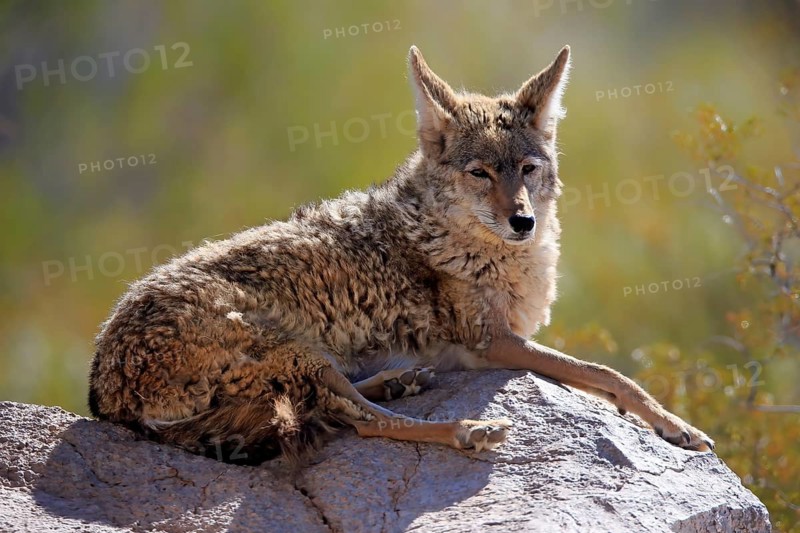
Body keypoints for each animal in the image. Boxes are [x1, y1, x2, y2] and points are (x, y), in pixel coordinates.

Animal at [88, 45, 714, 465]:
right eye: (480, 173)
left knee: (333, 404)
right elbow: (610, 373)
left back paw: (400, 381)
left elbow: (608, 377)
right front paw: (677, 425)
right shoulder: (494, 342)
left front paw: (672, 425)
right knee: (356, 422)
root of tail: (103, 393)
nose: (523, 221)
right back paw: (468, 429)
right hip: (293, 348)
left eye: (527, 169)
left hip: (304, 360)